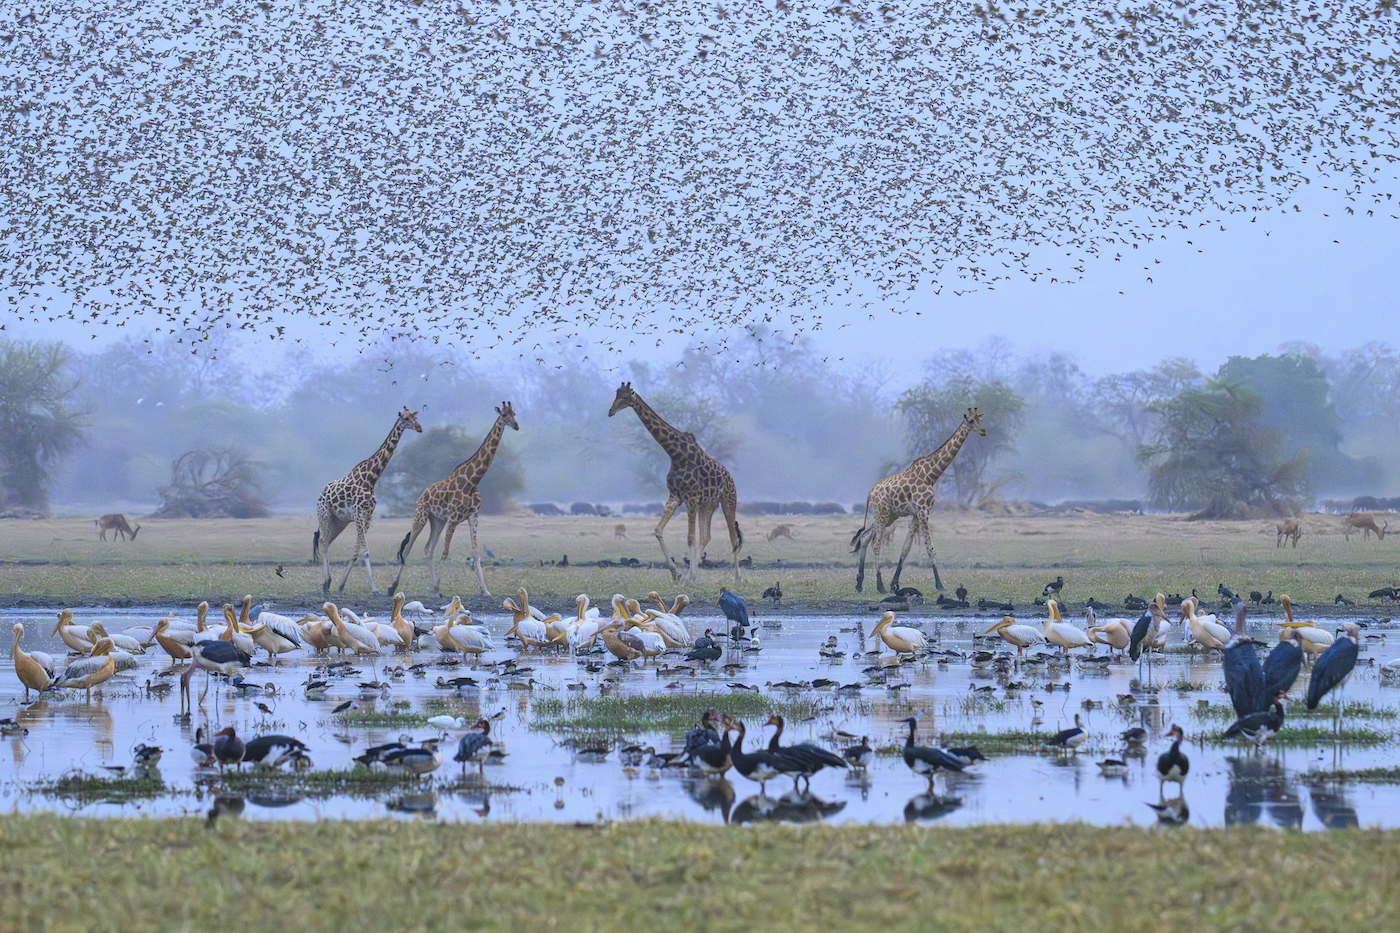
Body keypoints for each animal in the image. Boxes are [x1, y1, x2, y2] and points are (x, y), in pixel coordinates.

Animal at [313, 406, 423, 595]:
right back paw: (326, 583)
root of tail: (321, 493)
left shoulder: (367, 515)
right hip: (324, 514)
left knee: (325, 541)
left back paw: (328, 583)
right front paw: (374, 588)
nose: (419, 428)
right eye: (406, 418)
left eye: (415, 417)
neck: (371, 478)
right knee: (324, 543)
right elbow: (365, 551)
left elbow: (356, 550)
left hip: (339, 521)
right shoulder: (358, 513)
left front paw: (341, 586)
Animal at [388, 402, 520, 598]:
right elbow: (445, 552)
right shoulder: (453, 517)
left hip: (437, 521)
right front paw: (437, 587)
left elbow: (476, 552)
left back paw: (433, 586)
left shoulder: (473, 516)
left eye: (514, 414)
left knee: (428, 549)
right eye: (504, 415)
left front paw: (485, 590)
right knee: (410, 545)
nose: (516, 425)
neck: (473, 480)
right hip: (421, 515)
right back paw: (393, 587)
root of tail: (422, 494)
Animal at [608, 382, 743, 584]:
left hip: (728, 500)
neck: (675, 454)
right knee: (706, 536)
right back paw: (693, 574)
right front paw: (678, 573)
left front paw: (687, 575)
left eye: (625, 397)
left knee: (732, 535)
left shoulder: (691, 497)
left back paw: (736, 577)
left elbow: (690, 537)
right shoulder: (675, 496)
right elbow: (658, 530)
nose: (611, 411)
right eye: (616, 394)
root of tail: (730, 478)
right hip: (708, 504)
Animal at [850, 407, 985, 594]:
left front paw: (895, 584)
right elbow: (930, 547)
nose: (983, 431)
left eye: (980, 419)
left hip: (887, 515)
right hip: (882, 514)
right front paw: (940, 585)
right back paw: (879, 585)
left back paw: (859, 583)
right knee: (875, 543)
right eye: (971, 421)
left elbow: (906, 548)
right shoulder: (923, 511)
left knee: (864, 537)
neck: (931, 474)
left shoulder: (916, 514)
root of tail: (870, 493)